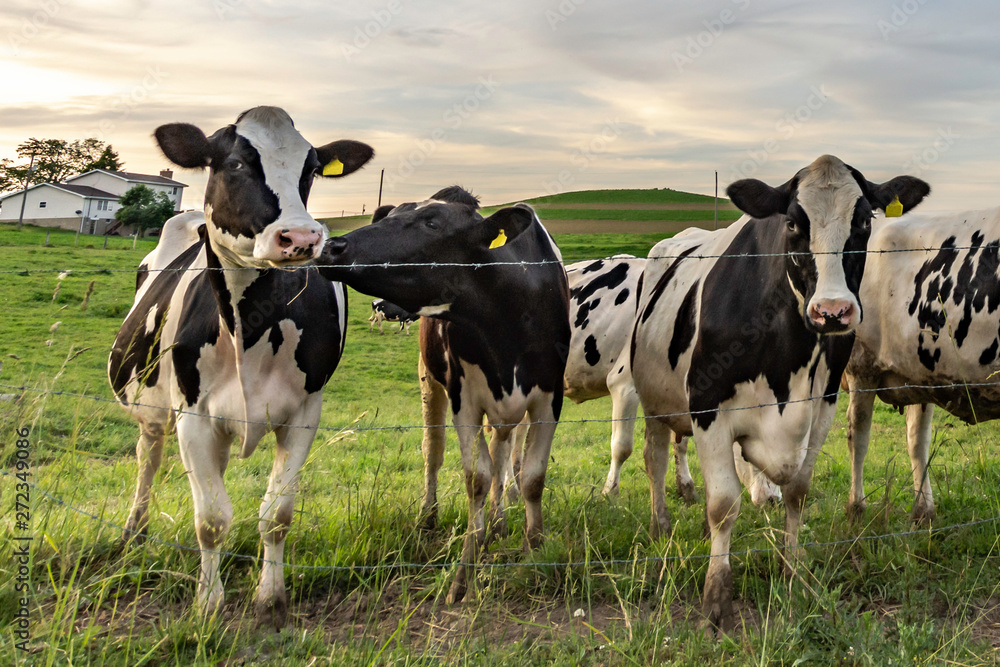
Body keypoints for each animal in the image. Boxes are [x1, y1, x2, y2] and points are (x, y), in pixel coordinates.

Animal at [108, 107, 376, 628]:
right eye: (232, 164)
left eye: (312, 169)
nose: (302, 237)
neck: (251, 324)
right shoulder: (191, 414)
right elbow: (211, 519)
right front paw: (208, 605)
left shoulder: (305, 413)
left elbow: (277, 514)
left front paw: (271, 599)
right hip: (155, 410)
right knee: (148, 456)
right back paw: (135, 530)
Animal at [320, 185, 572, 604]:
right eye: (390, 215)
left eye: (432, 222)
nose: (332, 246)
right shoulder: (463, 399)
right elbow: (476, 479)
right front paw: (464, 573)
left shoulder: (548, 398)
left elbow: (531, 477)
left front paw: (536, 554)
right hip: (430, 381)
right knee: (434, 451)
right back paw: (431, 516)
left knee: (502, 453)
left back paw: (499, 522)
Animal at [624, 155, 928, 632]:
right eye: (792, 223)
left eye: (864, 221)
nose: (832, 312)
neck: (788, 354)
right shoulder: (707, 405)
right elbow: (723, 505)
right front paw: (716, 599)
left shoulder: (822, 408)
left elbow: (798, 490)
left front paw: (794, 570)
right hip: (656, 401)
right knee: (653, 459)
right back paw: (660, 526)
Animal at [848, 209, 1000, 528]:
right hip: (861, 366)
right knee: (858, 434)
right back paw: (856, 508)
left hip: (918, 371)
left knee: (917, 439)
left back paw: (923, 511)